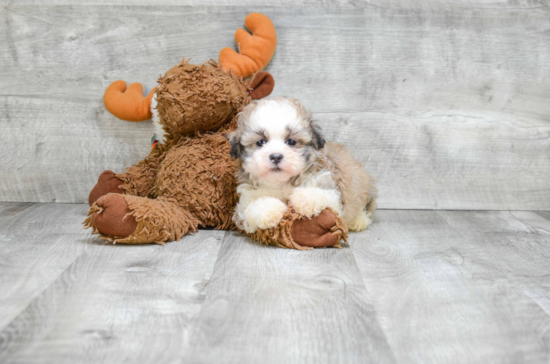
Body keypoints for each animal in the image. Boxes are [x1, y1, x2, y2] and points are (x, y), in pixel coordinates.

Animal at [226, 96, 378, 233]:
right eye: (260, 142)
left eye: (291, 142)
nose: (276, 156)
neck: (282, 183)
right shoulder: (244, 202)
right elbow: (251, 209)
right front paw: (269, 210)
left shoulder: (329, 187)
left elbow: (320, 193)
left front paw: (305, 199)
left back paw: (359, 221)